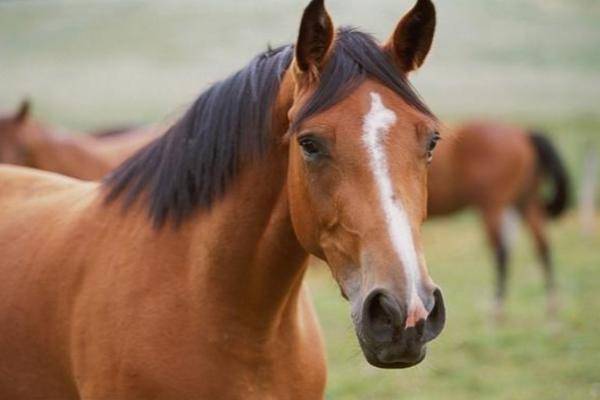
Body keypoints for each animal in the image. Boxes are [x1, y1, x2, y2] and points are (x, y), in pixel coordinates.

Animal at [426, 121, 568, 318]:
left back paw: (497, 307)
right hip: (525, 202)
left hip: (493, 207)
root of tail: (522, 133)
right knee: (542, 245)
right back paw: (551, 304)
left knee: (501, 252)